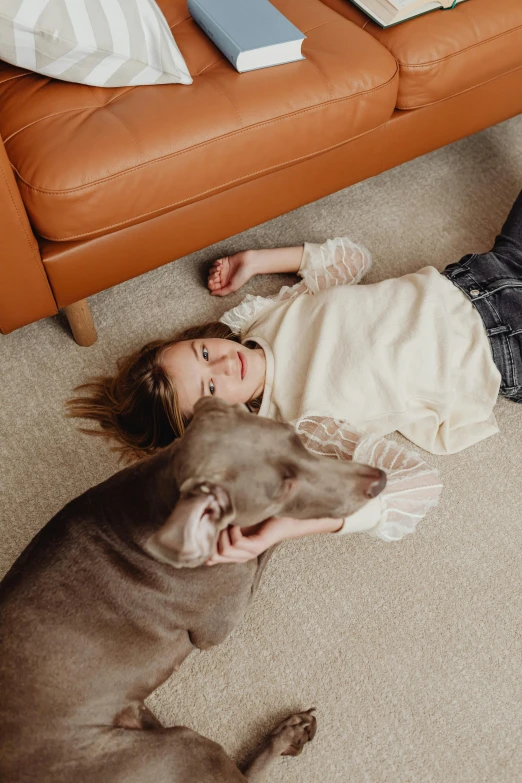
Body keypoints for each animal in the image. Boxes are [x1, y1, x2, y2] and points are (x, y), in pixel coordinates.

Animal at [0, 402, 382, 780]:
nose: (379, 482)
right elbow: (264, 549)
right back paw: (289, 734)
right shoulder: (218, 622)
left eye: (296, 440)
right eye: (282, 490)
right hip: (181, 747)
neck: (156, 500)